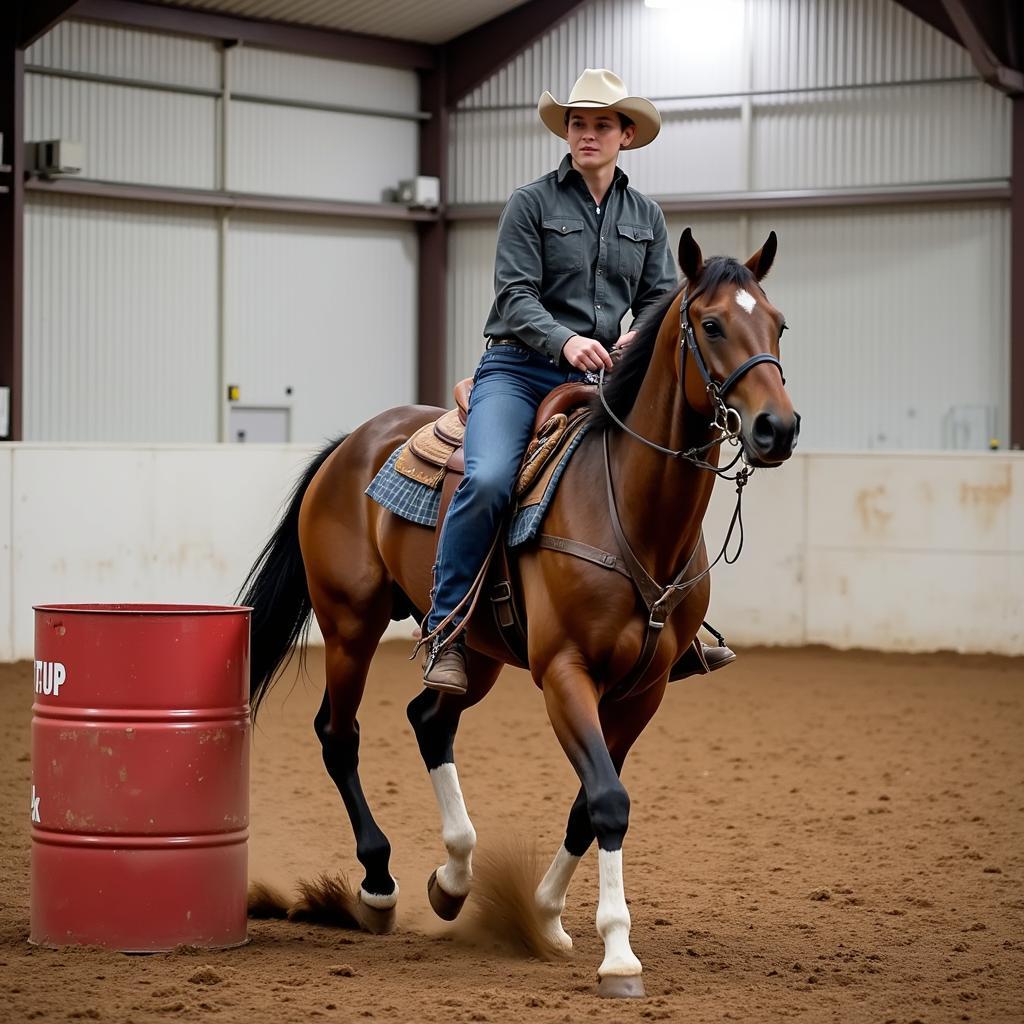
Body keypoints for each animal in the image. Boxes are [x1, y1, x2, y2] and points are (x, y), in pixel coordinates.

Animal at [239, 228, 798, 995]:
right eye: (711, 325)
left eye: (778, 324)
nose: (779, 427)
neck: (631, 511)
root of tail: (351, 443)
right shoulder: (565, 674)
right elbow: (608, 798)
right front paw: (617, 952)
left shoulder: (644, 690)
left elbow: (590, 802)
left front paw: (547, 915)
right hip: (350, 624)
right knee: (338, 733)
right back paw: (379, 885)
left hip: (472, 651)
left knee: (428, 719)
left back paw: (452, 878)